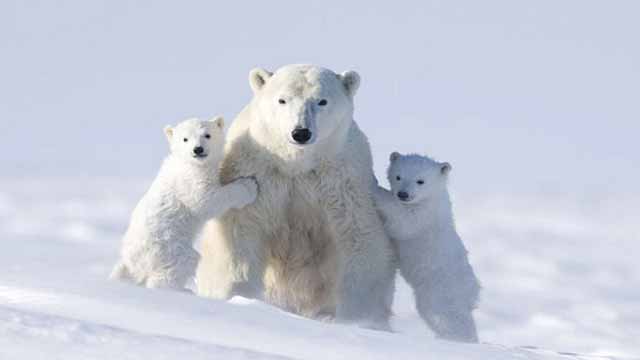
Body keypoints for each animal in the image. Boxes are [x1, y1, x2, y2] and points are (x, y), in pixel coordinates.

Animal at [110, 117, 258, 290]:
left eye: (207, 135)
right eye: (185, 139)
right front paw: (249, 186)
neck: (187, 163)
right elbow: (206, 201)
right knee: (179, 265)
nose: (198, 149)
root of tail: (130, 260)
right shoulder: (189, 181)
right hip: (168, 247)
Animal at [195, 64, 396, 330]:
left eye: (322, 100)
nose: (301, 132)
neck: (296, 164)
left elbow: (360, 237)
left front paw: (358, 319)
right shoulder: (259, 173)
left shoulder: (342, 181)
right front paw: (241, 296)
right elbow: (242, 231)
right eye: (283, 100)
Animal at [376, 152, 480, 344]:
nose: (403, 194)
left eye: (420, 181)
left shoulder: (423, 215)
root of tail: (472, 292)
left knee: (444, 315)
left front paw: (375, 187)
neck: (433, 199)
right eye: (398, 176)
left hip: (439, 288)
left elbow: (402, 221)